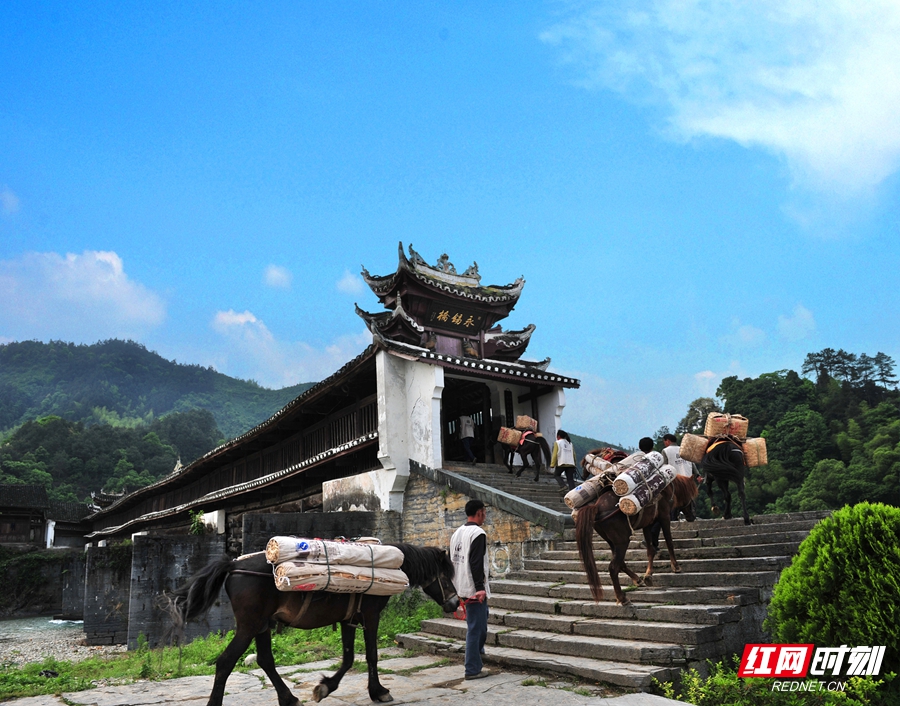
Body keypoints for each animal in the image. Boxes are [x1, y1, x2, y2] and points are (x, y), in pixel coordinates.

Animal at [162, 544, 460, 704]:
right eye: (445, 576)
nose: (455, 603)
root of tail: (233, 565)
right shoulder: (370, 616)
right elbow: (372, 656)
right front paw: (379, 692)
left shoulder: (349, 620)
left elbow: (349, 658)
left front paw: (325, 687)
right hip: (248, 626)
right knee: (225, 662)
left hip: (261, 626)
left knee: (265, 661)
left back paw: (289, 699)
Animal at [576, 470, 696, 604]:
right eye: (692, 497)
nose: (692, 517)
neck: (668, 487)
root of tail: (597, 507)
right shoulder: (664, 516)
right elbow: (669, 542)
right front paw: (676, 567)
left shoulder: (647, 524)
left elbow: (650, 550)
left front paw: (648, 575)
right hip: (622, 541)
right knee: (613, 567)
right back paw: (622, 598)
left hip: (612, 542)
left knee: (621, 563)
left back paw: (637, 580)